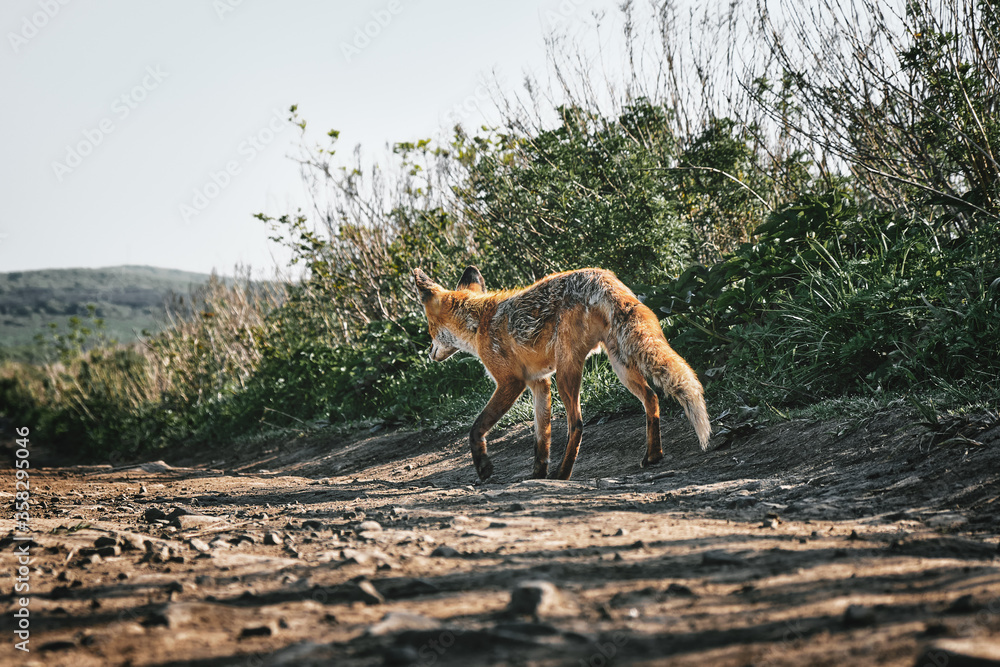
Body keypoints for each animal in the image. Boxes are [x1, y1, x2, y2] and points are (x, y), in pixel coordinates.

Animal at [413, 265, 711, 482]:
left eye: (429, 329)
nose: (429, 354)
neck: (479, 322)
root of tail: (602, 276)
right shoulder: (538, 382)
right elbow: (541, 438)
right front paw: (537, 473)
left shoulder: (511, 382)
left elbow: (476, 428)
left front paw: (484, 468)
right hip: (620, 366)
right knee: (652, 399)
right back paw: (654, 455)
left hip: (566, 372)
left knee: (577, 423)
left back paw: (563, 474)